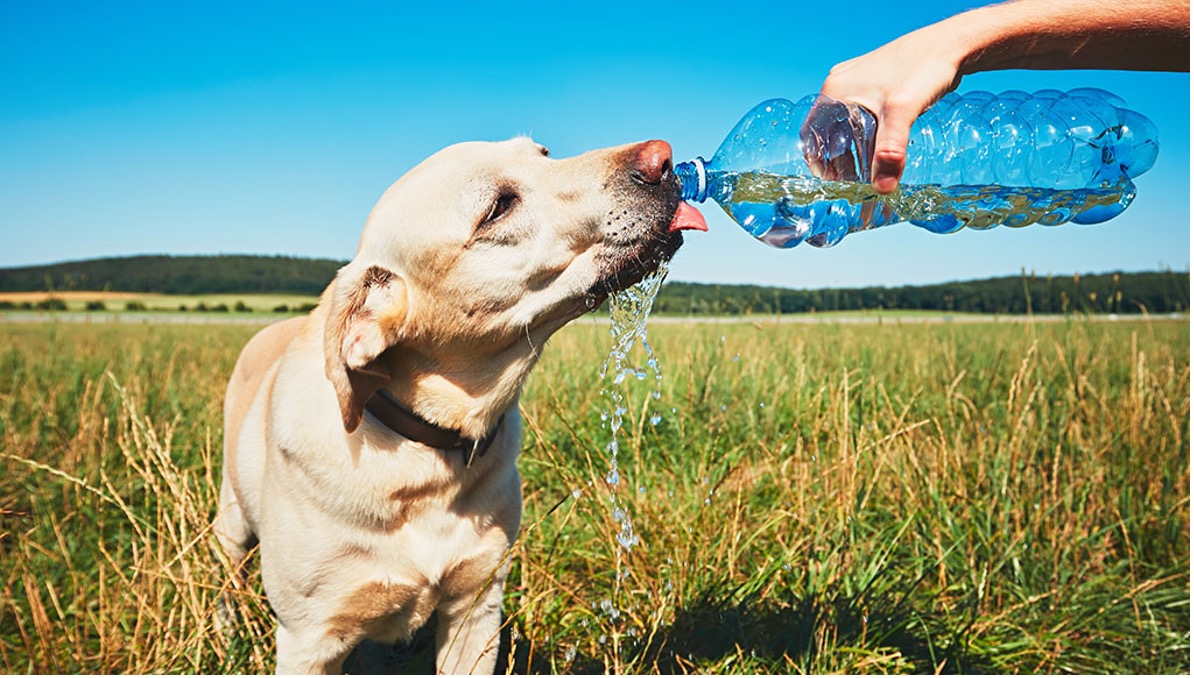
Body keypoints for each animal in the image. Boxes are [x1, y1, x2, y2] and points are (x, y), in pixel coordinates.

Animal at [214, 136, 702, 673]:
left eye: (544, 153)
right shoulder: (309, 641)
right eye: (498, 207)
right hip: (231, 521)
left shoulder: (477, 608)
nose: (663, 158)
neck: (424, 455)